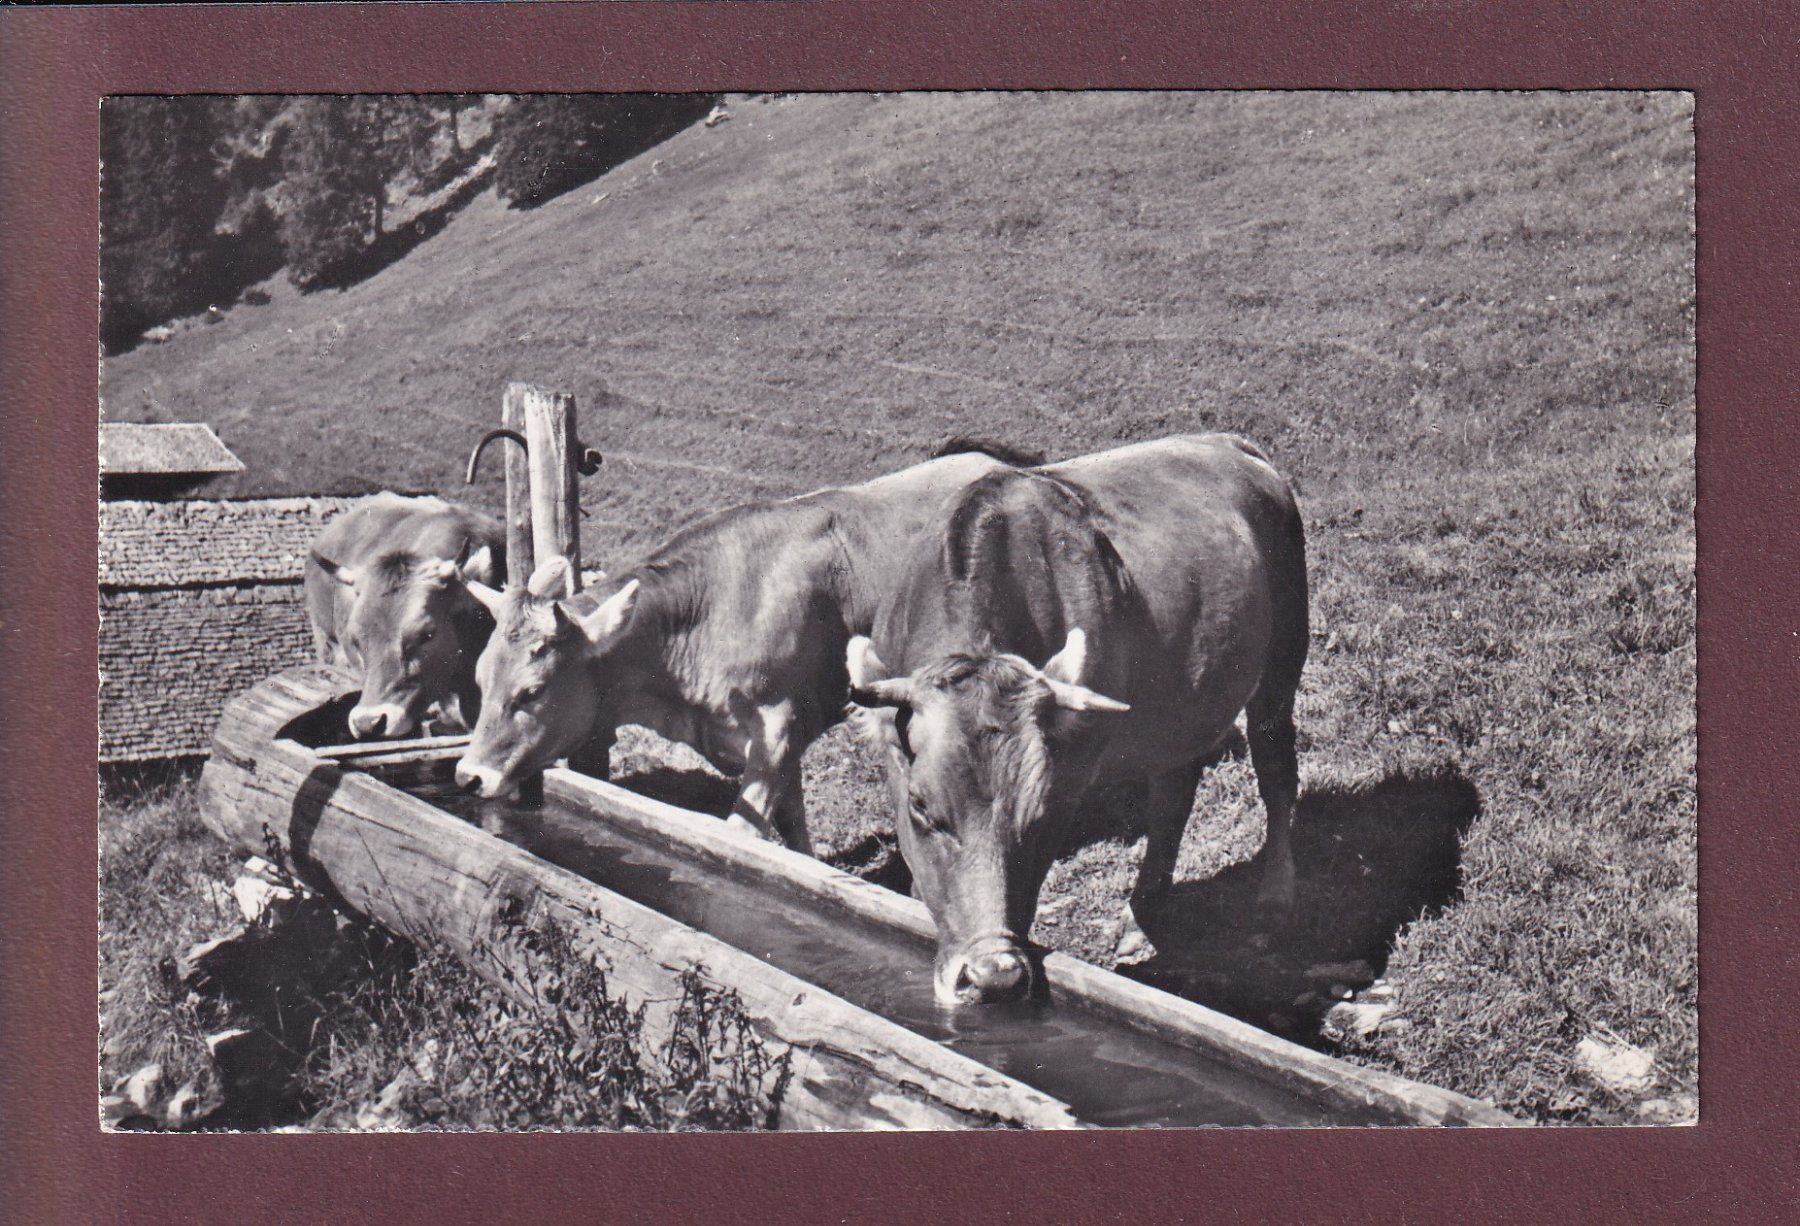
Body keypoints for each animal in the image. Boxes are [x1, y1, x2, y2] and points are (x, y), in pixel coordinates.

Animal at [450, 445, 1039, 851]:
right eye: (479, 679)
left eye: (532, 691)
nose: (467, 776)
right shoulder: (778, 744)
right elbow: (792, 830)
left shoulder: (777, 731)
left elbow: (740, 833)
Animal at [844, 434, 1309, 1005]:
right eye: (921, 807)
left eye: (1042, 815)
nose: (994, 976)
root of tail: (1229, 443)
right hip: (1177, 707)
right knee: (1173, 790)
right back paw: (1142, 912)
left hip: (1282, 662)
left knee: (1275, 770)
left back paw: (1276, 896)